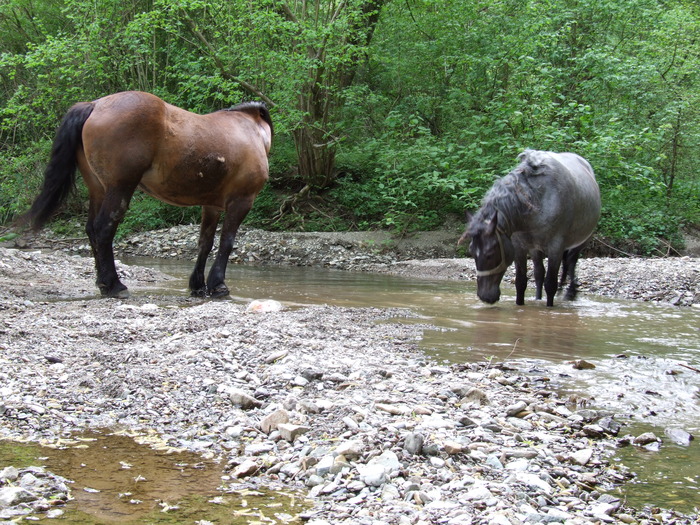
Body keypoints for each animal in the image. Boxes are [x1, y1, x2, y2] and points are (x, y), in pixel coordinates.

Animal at [21, 90, 274, 298]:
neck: (253, 131)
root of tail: (94, 105)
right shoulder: (241, 201)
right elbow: (226, 242)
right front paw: (218, 285)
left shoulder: (210, 205)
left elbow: (205, 242)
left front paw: (198, 286)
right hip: (119, 188)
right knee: (104, 228)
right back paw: (115, 286)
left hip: (99, 189)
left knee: (92, 229)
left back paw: (103, 283)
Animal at [460, 149, 600, 304]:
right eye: (472, 252)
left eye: (490, 254)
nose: (485, 297)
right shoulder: (519, 247)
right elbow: (521, 282)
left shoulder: (555, 248)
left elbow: (550, 284)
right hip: (535, 249)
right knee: (540, 273)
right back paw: (540, 298)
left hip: (582, 241)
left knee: (571, 261)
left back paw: (570, 292)